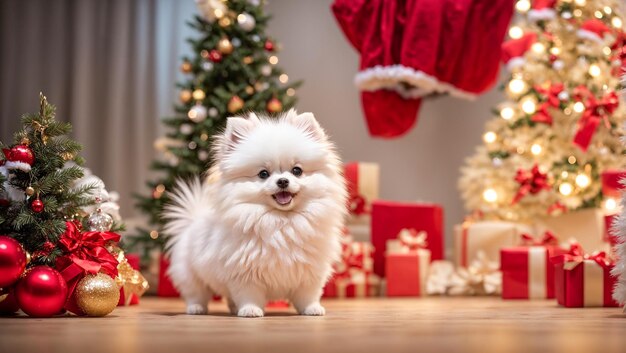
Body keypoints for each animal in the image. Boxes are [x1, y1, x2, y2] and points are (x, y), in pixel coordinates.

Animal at [162, 109, 346, 316]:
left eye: (297, 171)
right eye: (263, 174)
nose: (283, 181)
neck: (280, 220)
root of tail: (192, 223)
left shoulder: (309, 272)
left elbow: (308, 295)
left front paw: (312, 309)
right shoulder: (244, 274)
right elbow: (249, 295)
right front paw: (250, 310)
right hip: (191, 275)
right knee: (196, 293)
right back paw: (196, 308)